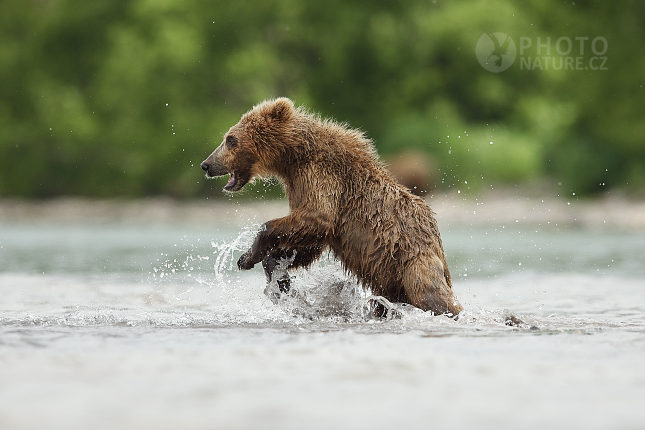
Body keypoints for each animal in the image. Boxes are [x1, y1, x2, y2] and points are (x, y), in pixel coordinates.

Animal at [201, 99, 462, 318]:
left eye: (230, 139)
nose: (206, 164)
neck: (293, 158)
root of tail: (436, 238)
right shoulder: (300, 188)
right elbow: (307, 240)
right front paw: (274, 271)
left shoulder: (322, 178)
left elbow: (315, 218)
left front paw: (250, 256)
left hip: (413, 261)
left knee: (431, 295)